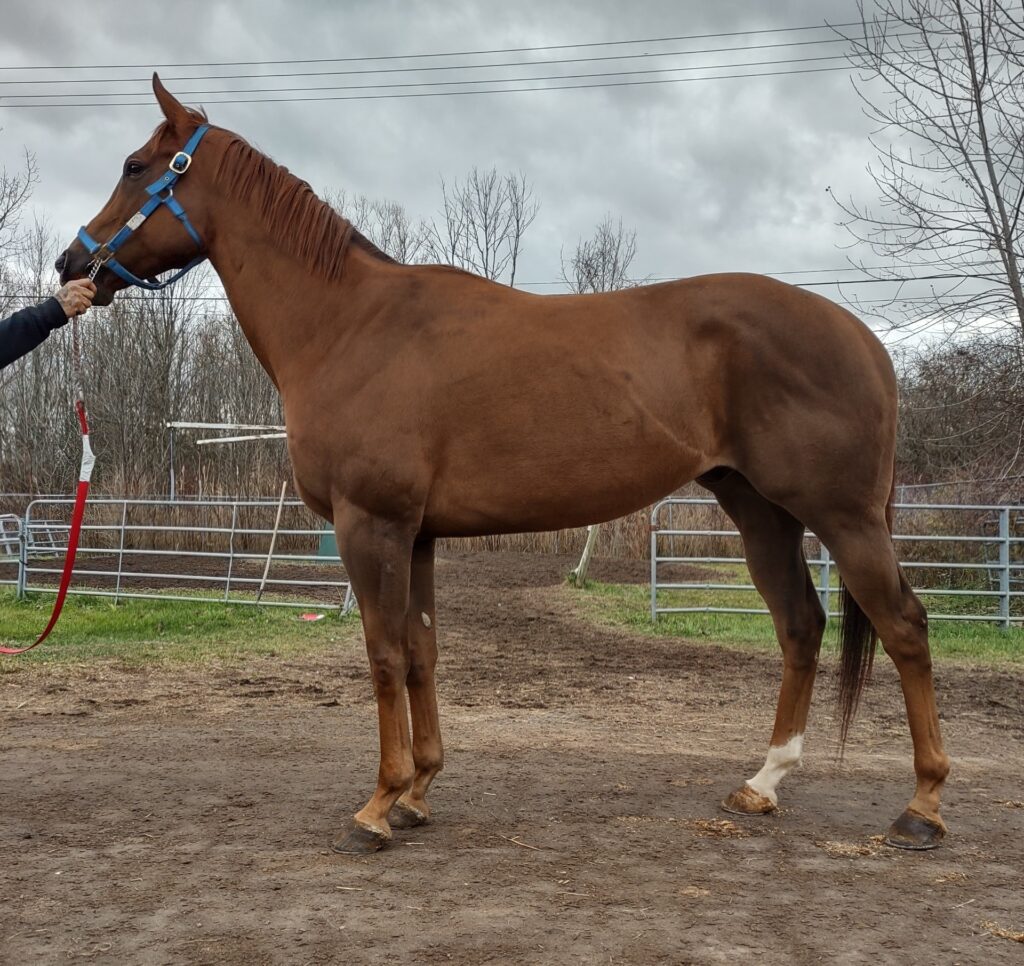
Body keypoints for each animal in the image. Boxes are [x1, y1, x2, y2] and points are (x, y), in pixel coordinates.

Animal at [56, 75, 950, 855]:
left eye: (135, 166)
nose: (71, 264)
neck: (351, 325)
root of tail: (862, 336)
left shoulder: (372, 525)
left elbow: (383, 656)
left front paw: (377, 806)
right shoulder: (417, 535)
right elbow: (421, 653)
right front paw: (418, 791)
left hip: (843, 516)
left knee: (904, 626)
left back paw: (923, 807)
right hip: (761, 511)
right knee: (800, 625)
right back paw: (762, 784)